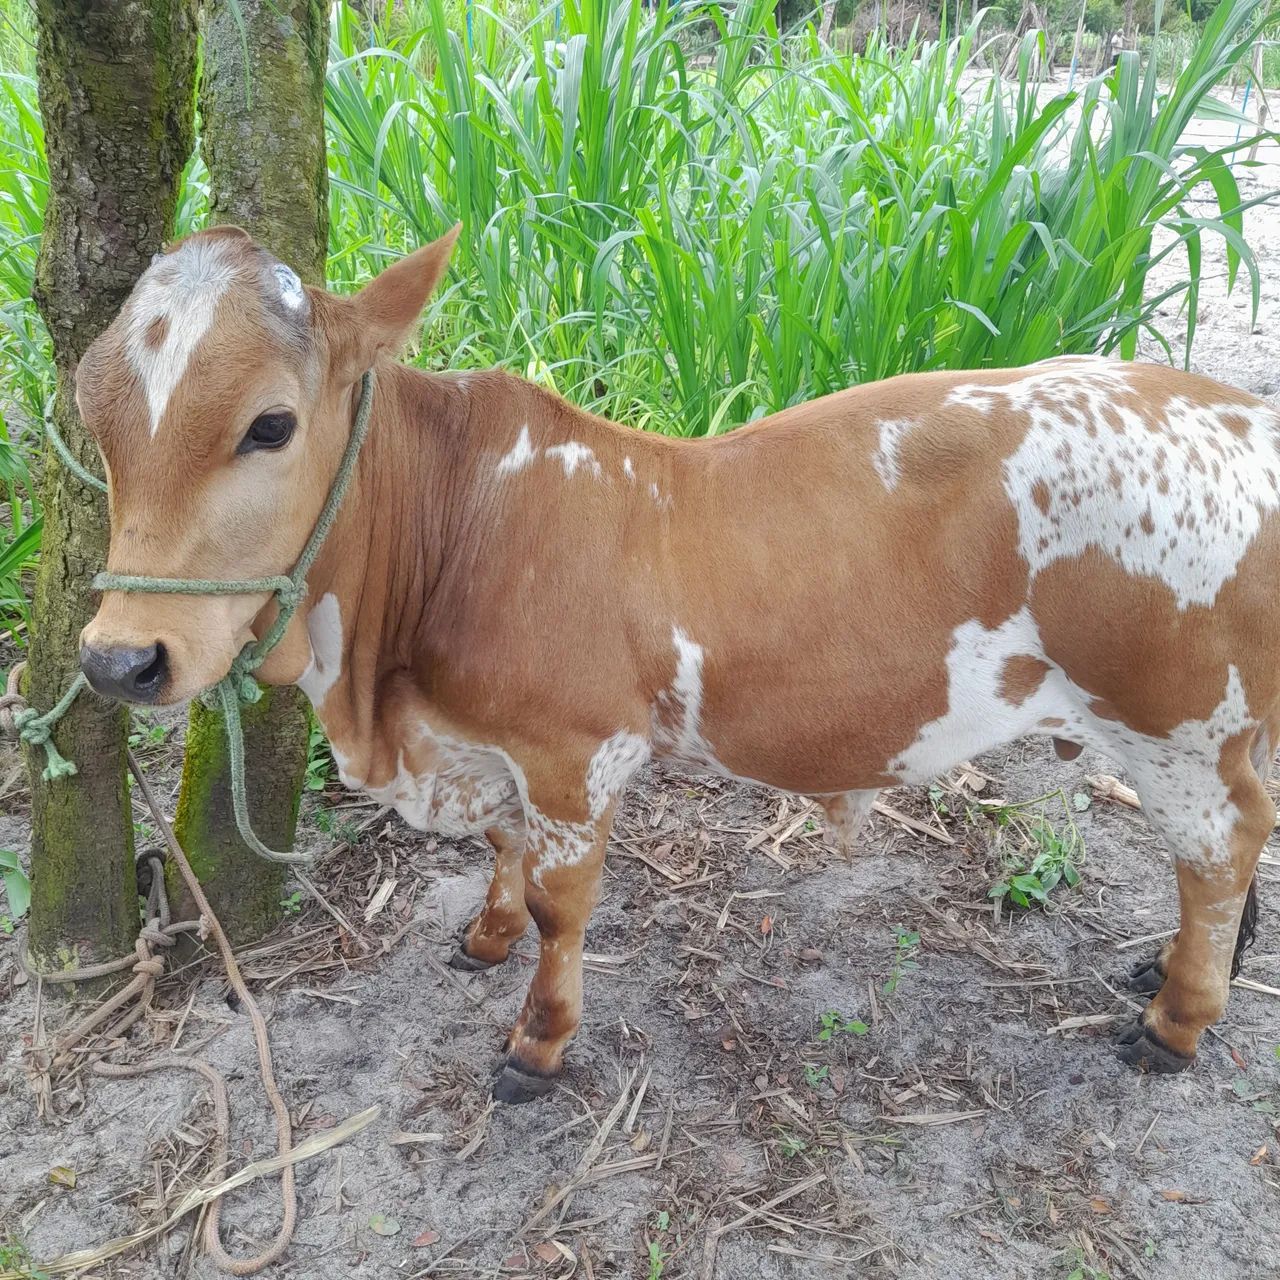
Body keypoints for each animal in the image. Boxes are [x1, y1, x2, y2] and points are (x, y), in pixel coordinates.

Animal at [74, 225, 1278, 1102]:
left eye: (270, 425)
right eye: (89, 415)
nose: (121, 660)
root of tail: (1230, 405)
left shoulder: (577, 755)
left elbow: (561, 904)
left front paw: (538, 1043)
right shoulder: (491, 753)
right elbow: (503, 850)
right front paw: (485, 934)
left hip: (1175, 720)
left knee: (1220, 848)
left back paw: (1177, 1016)